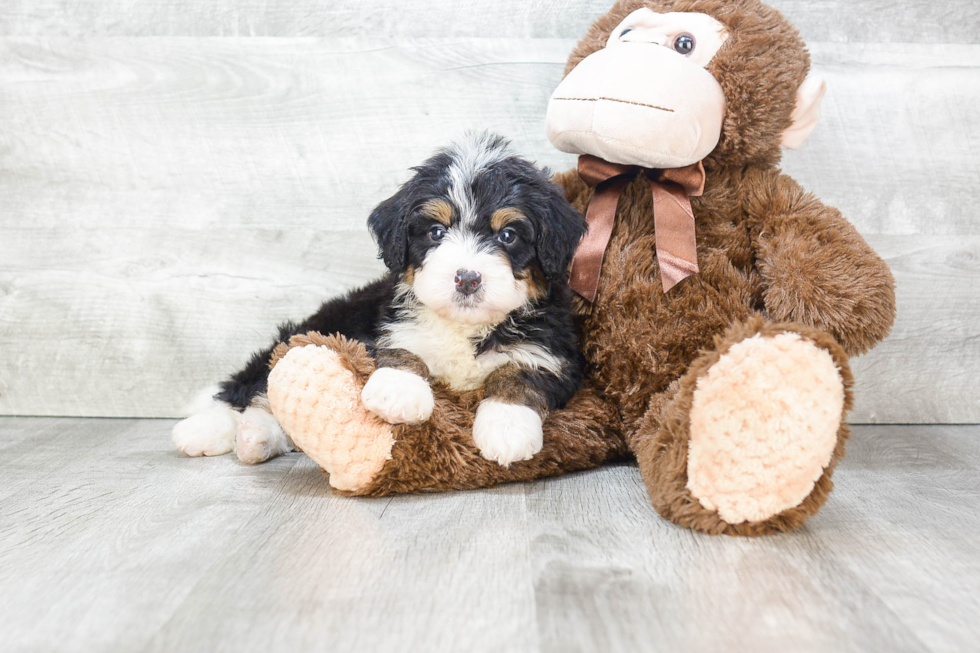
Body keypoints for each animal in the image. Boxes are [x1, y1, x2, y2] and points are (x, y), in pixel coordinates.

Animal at [174, 132, 588, 466]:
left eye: (508, 236)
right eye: (436, 232)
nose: (467, 279)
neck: (462, 326)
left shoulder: (553, 351)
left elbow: (521, 375)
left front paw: (506, 428)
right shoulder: (380, 324)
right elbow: (399, 348)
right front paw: (399, 390)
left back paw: (254, 438)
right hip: (321, 325)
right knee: (252, 387)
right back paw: (204, 431)